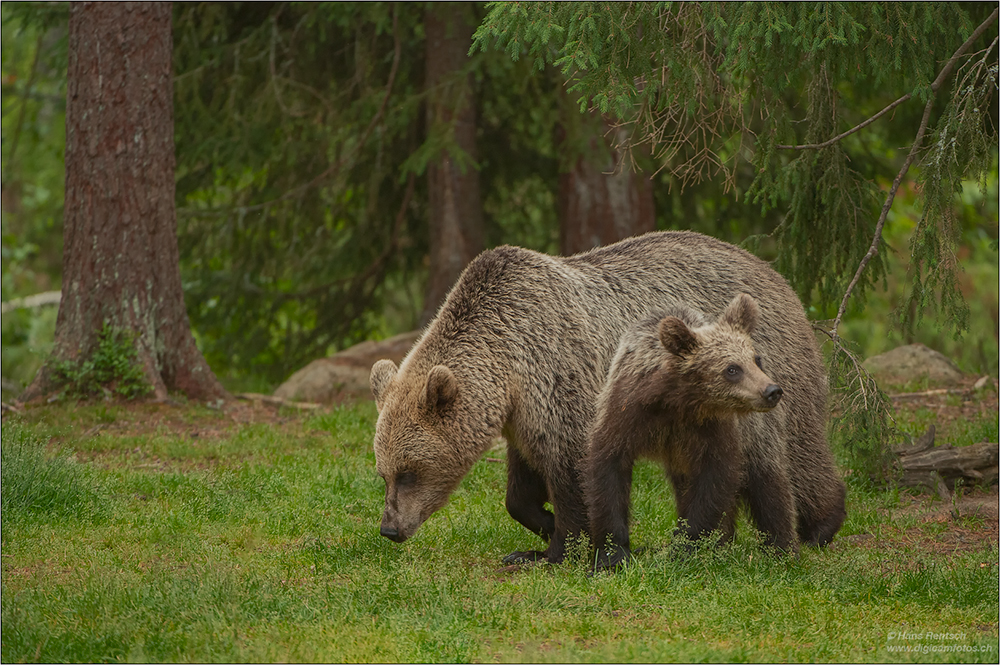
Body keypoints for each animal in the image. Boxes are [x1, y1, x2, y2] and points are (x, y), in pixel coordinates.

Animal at [584, 294, 812, 568]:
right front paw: (612, 554)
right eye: (732, 368)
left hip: (756, 436)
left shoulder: (713, 431)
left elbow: (713, 483)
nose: (772, 391)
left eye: (756, 359)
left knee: (770, 486)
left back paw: (783, 550)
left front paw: (683, 548)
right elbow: (609, 472)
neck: (677, 403)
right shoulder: (626, 414)